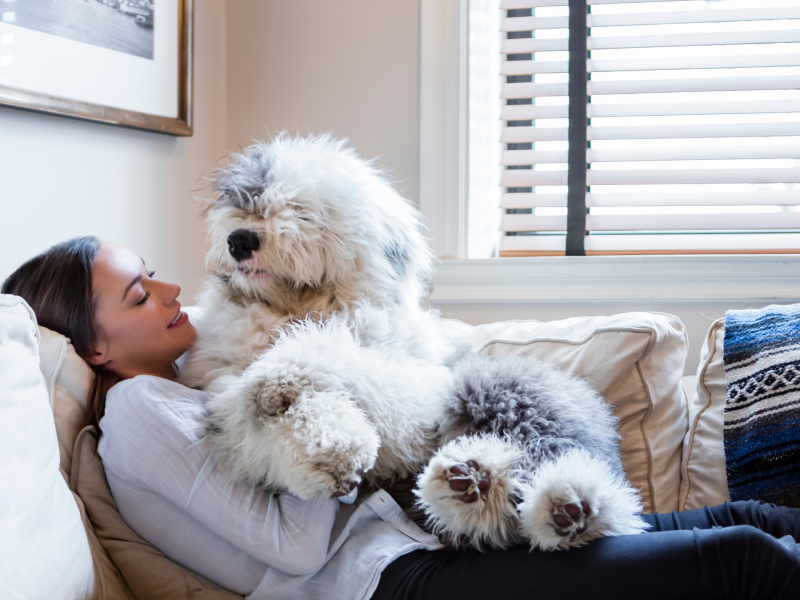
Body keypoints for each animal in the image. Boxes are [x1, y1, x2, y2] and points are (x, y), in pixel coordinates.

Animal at [178, 134, 648, 552]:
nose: (239, 241)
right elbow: (257, 428)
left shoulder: (420, 391)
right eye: (242, 201)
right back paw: (473, 488)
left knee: (565, 465)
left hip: (498, 387)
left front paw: (279, 377)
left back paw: (566, 504)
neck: (296, 309)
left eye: (300, 209)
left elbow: (332, 358)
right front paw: (331, 454)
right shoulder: (222, 392)